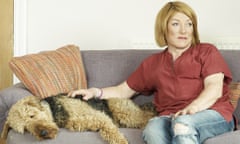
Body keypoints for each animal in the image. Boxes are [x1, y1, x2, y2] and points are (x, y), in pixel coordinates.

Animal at [2, 94, 156, 144]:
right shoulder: (82, 122)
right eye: (25, 129)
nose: (44, 134)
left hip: (124, 111)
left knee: (147, 116)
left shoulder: (100, 116)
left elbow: (111, 132)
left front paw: (122, 141)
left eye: (31, 115)